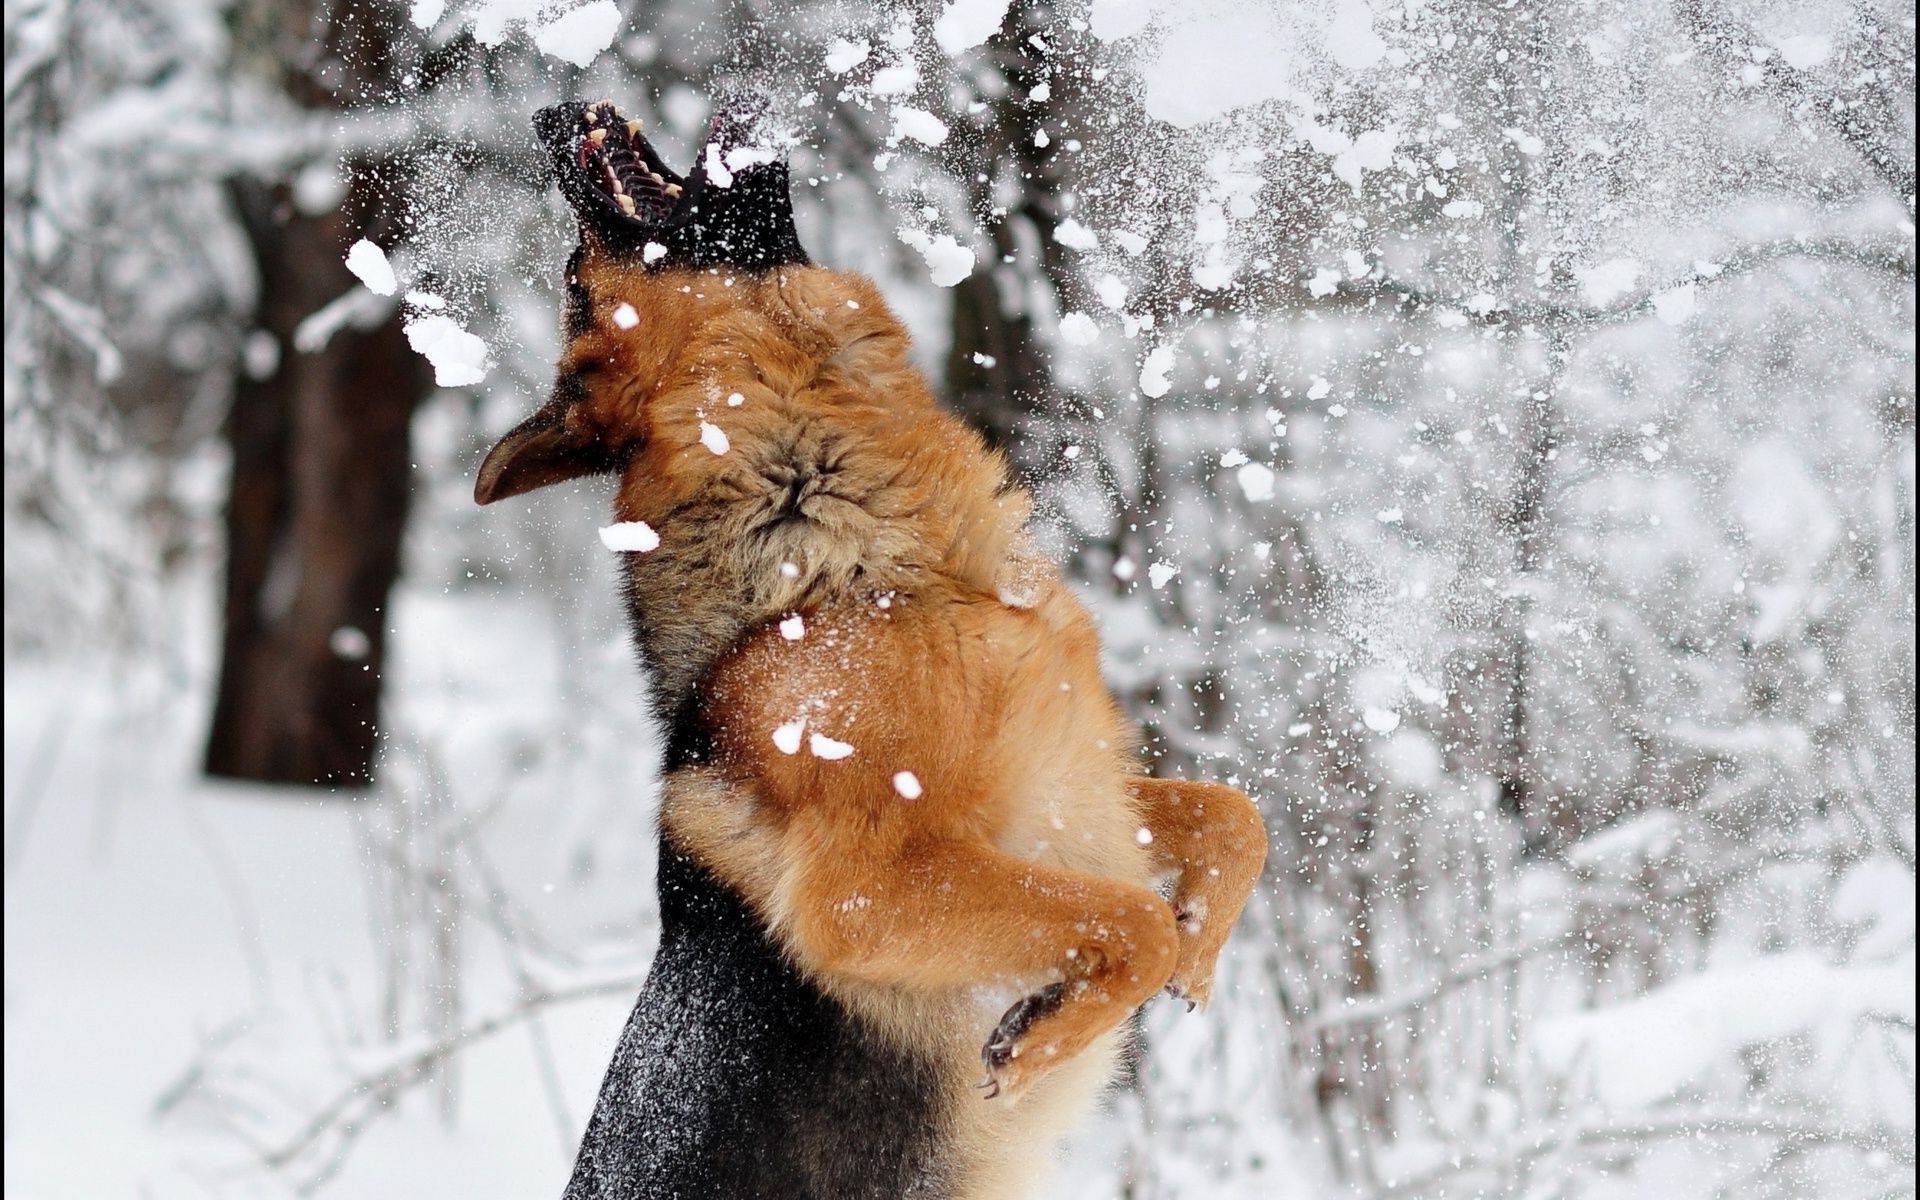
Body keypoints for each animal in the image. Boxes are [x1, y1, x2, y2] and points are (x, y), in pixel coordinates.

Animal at [472, 102, 1267, 1198]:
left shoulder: (1075, 791)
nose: (551, 113)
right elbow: (1130, 920)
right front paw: (1047, 1035)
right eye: (573, 280)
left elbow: (1234, 820)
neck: (853, 563)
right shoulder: (868, 890)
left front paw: (1199, 951)